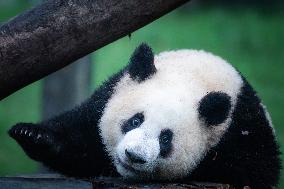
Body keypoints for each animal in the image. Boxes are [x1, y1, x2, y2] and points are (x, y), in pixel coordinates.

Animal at [8, 43, 280, 188]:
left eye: (166, 138)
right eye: (135, 120)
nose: (134, 156)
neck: (194, 78)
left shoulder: (243, 129)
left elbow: (253, 172)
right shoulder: (109, 94)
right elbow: (79, 142)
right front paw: (30, 134)